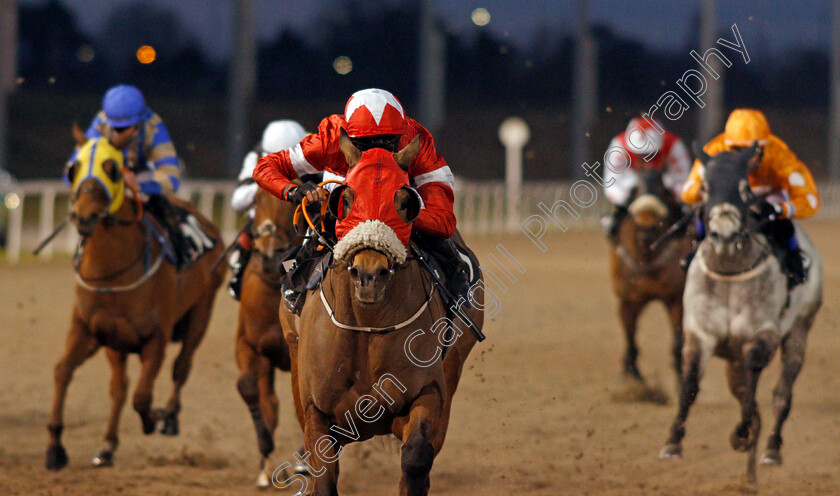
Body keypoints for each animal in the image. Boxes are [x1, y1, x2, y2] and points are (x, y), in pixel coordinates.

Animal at [45, 138, 223, 470]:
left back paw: (169, 417)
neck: (113, 273)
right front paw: (55, 448)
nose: (84, 216)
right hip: (116, 343)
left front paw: (155, 419)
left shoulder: (155, 339)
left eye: (112, 169)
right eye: (73, 167)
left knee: (182, 367)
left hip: (201, 313)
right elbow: (64, 371)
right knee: (120, 388)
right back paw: (107, 446)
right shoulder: (93, 331)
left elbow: (142, 397)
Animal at [276, 133, 486, 496]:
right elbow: (323, 475)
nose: (369, 274)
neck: (367, 325)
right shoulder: (317, 410)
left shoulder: (427, 393)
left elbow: (416, 457)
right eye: (346, 197)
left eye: (403, 201)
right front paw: (306, 192)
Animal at [608, 168, 692, 388]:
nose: (647, 228)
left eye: (663, 191)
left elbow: (678, 342)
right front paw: (633, 378)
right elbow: (630, 339)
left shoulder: (675, 298)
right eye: (636, 190)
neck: (646, 257)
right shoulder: (629, 300)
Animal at [660, 143, 824, 484]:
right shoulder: (700, 332)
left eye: (744, 188)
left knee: (782, 394)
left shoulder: (764, 333)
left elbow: (754, 377)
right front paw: (672, 443)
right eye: (705, 187)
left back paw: (771, 448)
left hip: (800, 329)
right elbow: (689, 385)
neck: (729, 275)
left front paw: (743, 433)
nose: (723, 234)